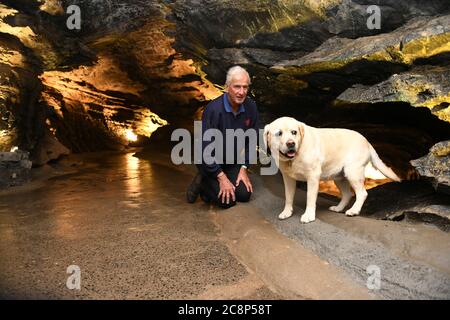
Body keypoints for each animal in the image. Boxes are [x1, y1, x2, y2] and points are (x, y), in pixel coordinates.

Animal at [264, 116, 400, 224]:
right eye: (279, 133)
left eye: (294, 132)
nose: (291, 143)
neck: (294, 157)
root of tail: (366, 141)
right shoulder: (288, 178)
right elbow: (288, 196)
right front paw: (286, 212)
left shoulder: (313, 177)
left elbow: (310, 198)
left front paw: (309, 216)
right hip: (339, 178)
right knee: (348, 194)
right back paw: (339, 208)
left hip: (353, 172)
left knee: (362, 193)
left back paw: (354, 210)